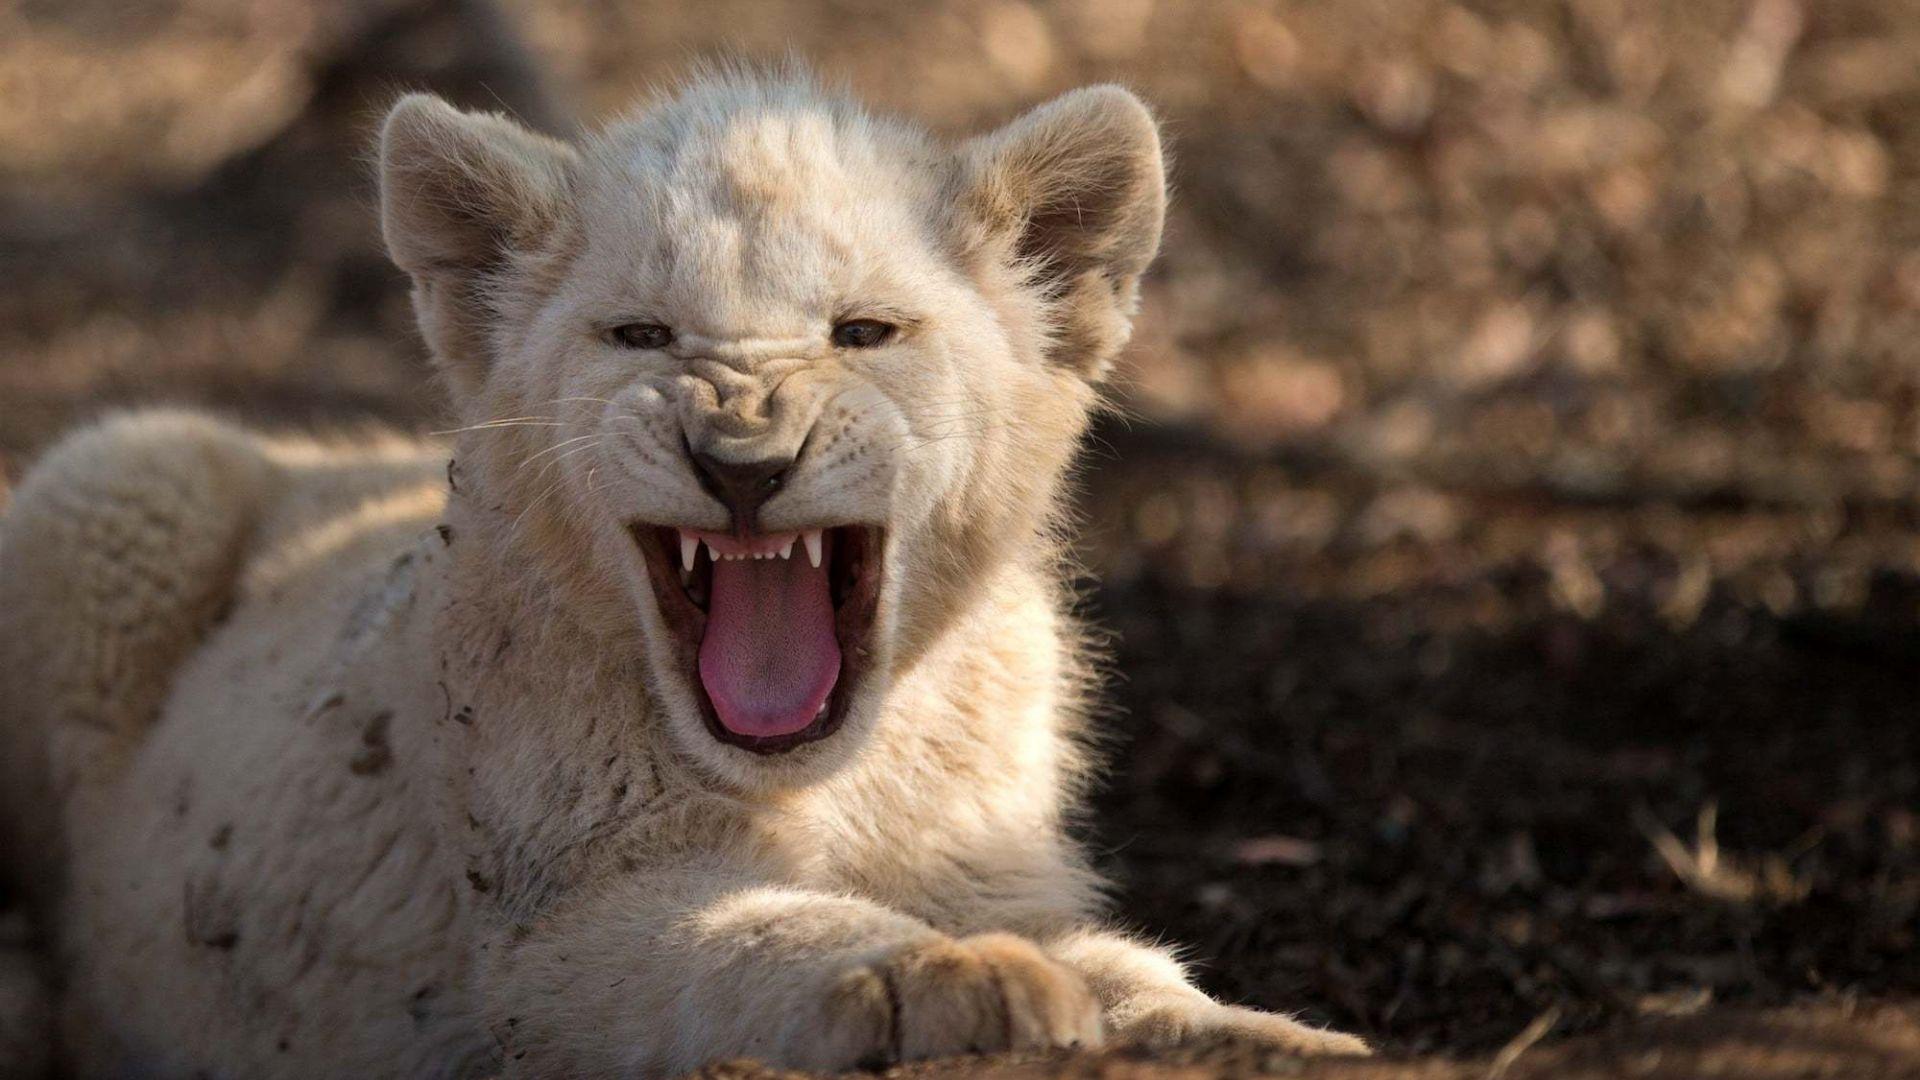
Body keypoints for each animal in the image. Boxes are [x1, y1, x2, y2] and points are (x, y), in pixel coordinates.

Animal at [0, 70, 1367, 1077]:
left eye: (863, 331)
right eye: (641, 335)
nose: (742, 460)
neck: (837, 780)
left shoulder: (998, 863)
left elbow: (1133, 969)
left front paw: (1272, 1034)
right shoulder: (542, 933)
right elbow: (744, 934)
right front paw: (948, 975)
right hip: (118, 474)